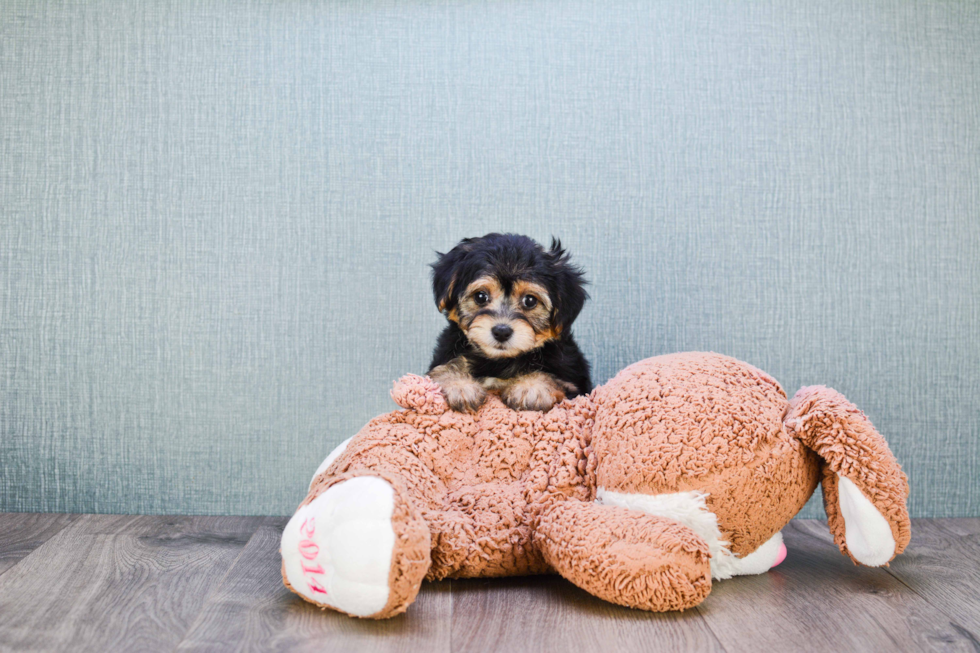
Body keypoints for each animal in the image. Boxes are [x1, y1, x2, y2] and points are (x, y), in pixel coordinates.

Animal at [426, 232, 588, 410]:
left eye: (530, 300)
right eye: (480, 296)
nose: (502, 332)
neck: (499, 361)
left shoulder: (572, 383)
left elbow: (554, 379)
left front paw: (532, 388)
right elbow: (443, 369)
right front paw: (459, 385)